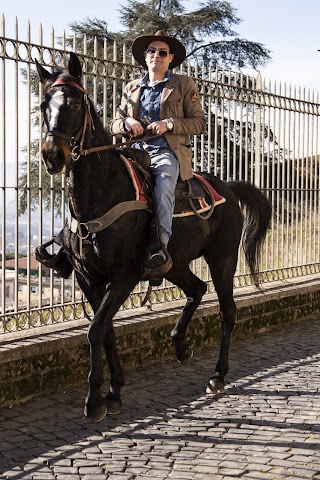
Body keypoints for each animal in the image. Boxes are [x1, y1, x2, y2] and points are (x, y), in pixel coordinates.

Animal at [35, 52, 272, 424]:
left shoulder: (125, 275)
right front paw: (115, 391)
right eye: (44, 103)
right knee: (196, 289)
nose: (52, 155)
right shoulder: (89, 279)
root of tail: (228, 189)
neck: (102, 192)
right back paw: (180, 345)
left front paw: (95, 398)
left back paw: (218, 376)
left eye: (74, 103)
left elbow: (95, 329)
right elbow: (106, 330)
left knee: (227, 311)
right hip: (173, 263)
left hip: (223, 259)